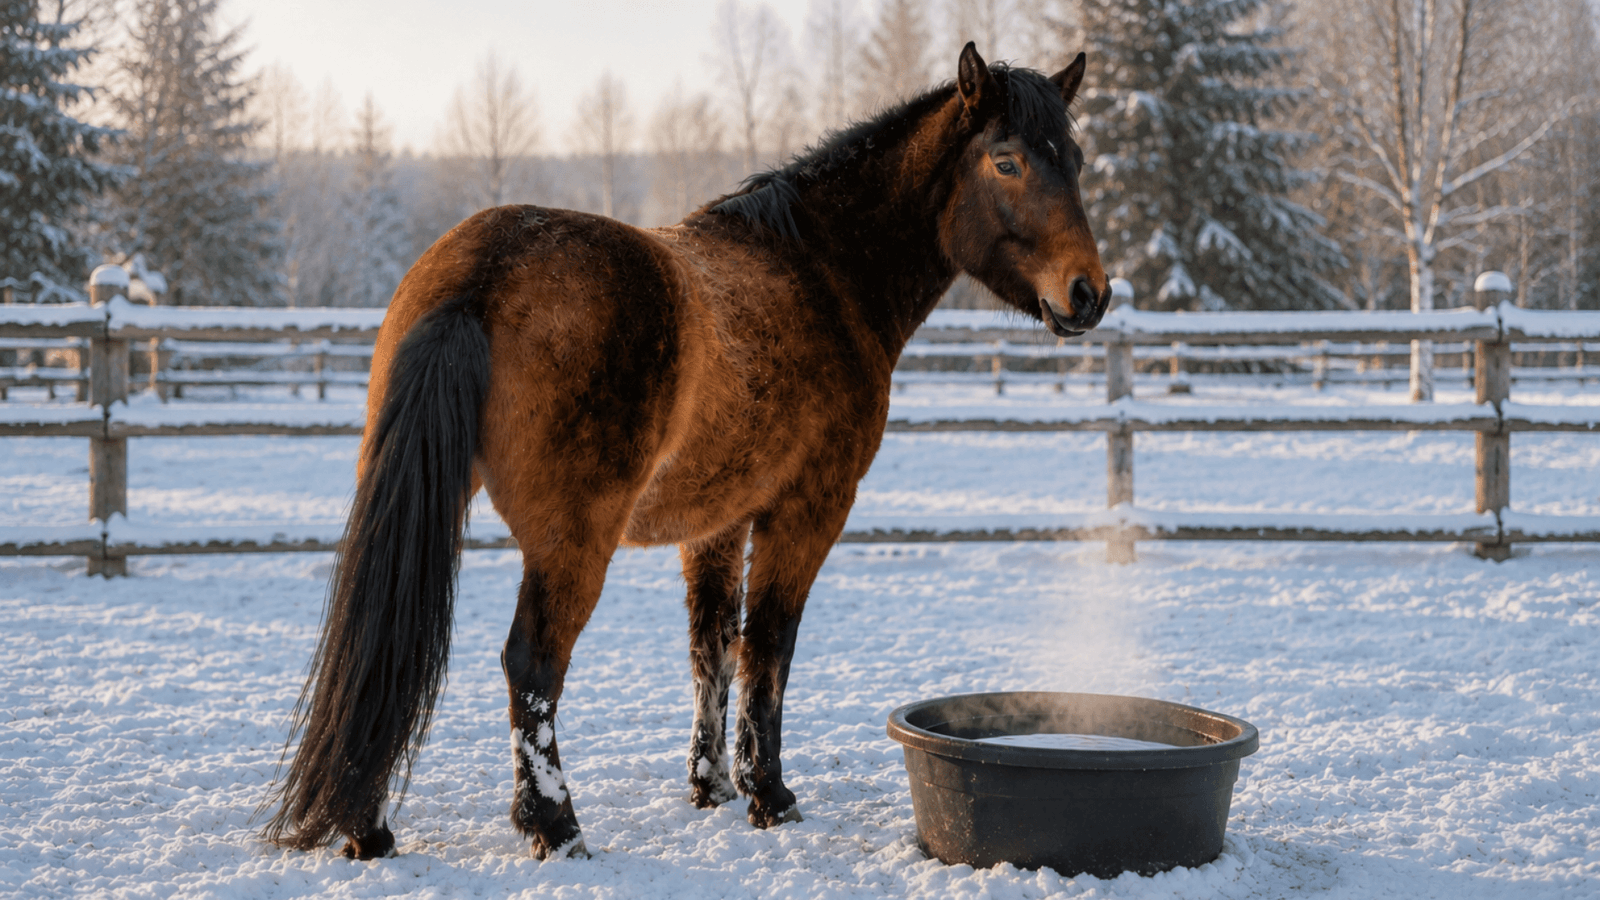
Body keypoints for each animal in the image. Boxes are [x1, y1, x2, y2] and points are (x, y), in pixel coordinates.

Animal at [261, 42, 1110, 861]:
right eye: (1006, 160)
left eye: (1074, 157)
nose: (1088, 293)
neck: (823, 272)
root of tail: (480, 274)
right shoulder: (807, 509)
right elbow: (769, 643)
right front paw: (770, 794)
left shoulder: (717, 522)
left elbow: (714, 647)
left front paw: (713, 787)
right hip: (572, 543)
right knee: (532, 663)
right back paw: (555, 826)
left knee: (389, 651)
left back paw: (368, 827)